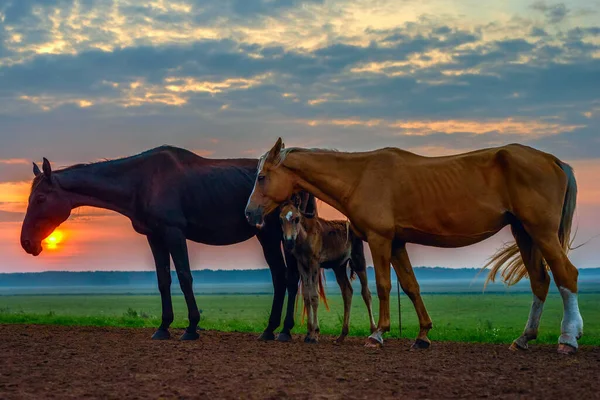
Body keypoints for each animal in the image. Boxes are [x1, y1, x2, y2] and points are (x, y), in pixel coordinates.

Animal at [18, 145, 312, 342]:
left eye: (41, 198)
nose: (26, 242)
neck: (141, 181)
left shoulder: (173, 233)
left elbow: (184, 276)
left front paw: (191, 328)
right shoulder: (155, 236)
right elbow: (163, 280)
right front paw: (163, 327)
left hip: (274, 236)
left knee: (285, 277)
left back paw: (278, 330)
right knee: (285, 277)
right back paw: (277, 330)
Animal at [246, 138, 584, 354]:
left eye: (261, 176)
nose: (249, 213)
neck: (360, 176)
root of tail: (554, 161)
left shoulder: (380, 240)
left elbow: (383, 286)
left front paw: (377, 334)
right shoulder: (397, 243)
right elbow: (410, 286)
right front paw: (422, 335)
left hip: (541, 233)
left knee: (567, 275)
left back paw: (568, 339)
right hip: (524, 233)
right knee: (540, 281)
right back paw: (524, 338)